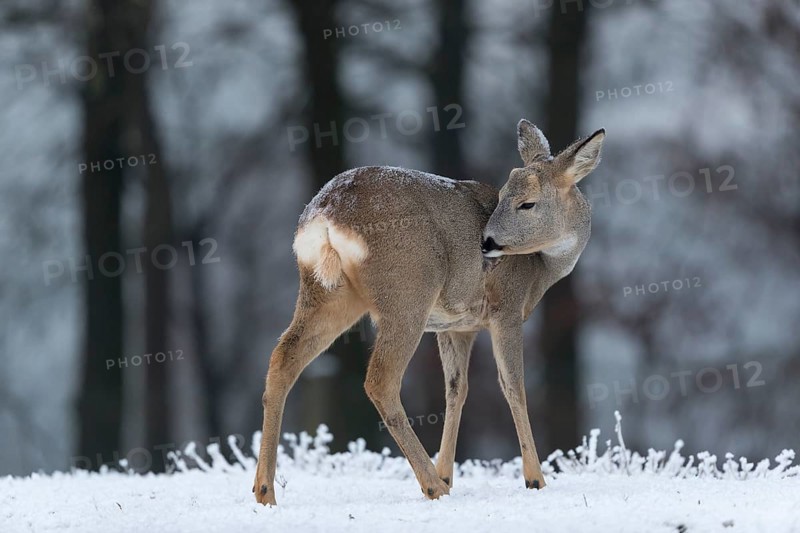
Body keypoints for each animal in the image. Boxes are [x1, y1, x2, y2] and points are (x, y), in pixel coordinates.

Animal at [253, 119, 605, 505]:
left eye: (527, 204)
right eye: (502, 196)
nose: (486, 243)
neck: (540, 269)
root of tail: (325, 213)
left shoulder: (456, 325)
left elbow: (456, 390)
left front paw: (448, 472)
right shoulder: (506, 308)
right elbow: (513, 386)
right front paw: (534, 479)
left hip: (326, 293)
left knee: (283, 358)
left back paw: (265, 491)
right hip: (408, 293)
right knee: (380, 379)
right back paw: (432, 486)